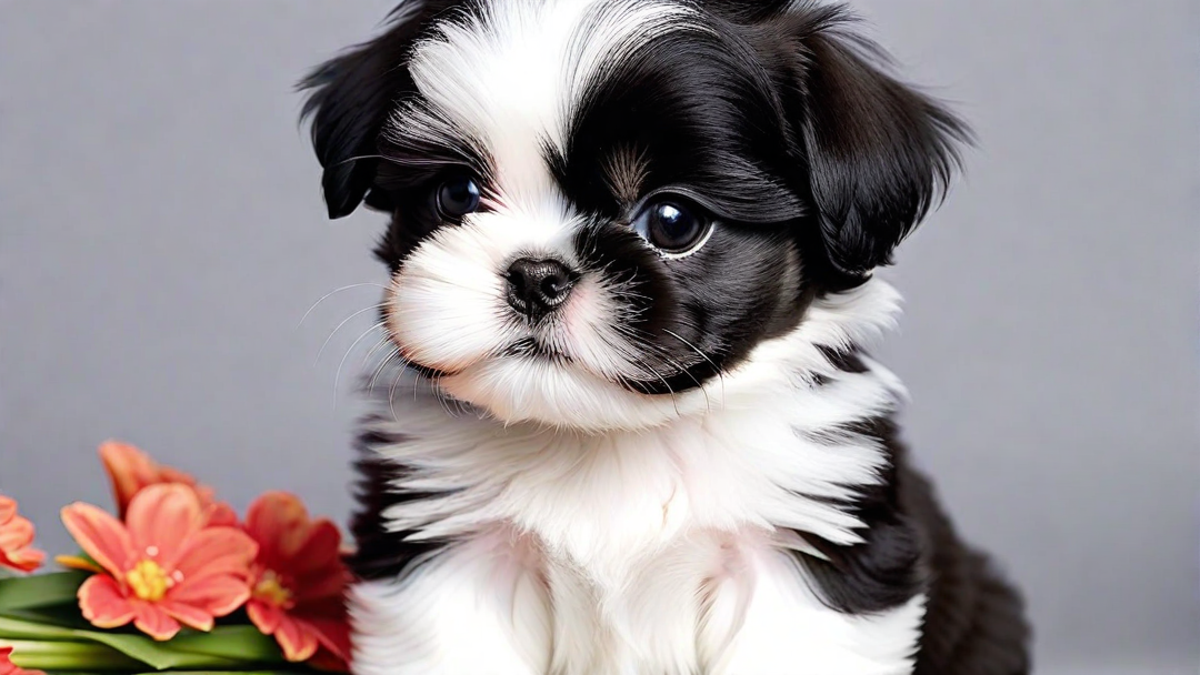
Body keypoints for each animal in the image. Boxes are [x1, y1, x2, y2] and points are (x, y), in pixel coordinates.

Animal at [300, 1, 1032, 672]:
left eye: (674, 221)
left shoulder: (804, 554)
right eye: (457, 194)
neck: (612, 438)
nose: (537, 276)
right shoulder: (450, 554)